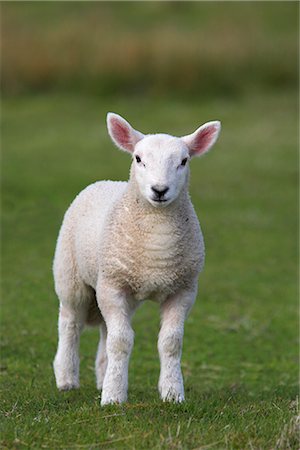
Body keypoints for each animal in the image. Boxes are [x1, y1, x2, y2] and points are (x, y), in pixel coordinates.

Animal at [53, 111, 220, 404]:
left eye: (184, 161)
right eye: (138, 159)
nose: (160, 190)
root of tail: (105, 182)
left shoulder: (184, 289)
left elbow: (170, 341)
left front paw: (172, 393)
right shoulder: (113, 285)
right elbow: (121, 341)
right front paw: (113, 398)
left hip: (118, 290)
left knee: (106, 329)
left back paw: (102, 377)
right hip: (71, 276)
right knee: (70, 322)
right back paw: (66, 378)